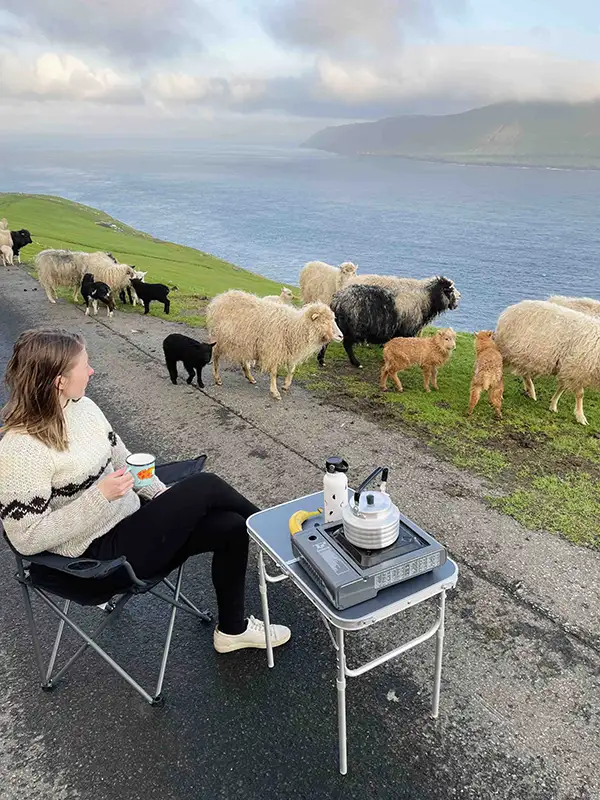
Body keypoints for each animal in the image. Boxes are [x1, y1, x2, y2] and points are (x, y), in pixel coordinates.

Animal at [206, 289, 343, 400]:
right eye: (324, 321)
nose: (341, 336)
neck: (294, 326)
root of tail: (221, 297)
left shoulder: (288, 351)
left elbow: (292, 369)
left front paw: (286, 386)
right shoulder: (273, 350)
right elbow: (274, 373)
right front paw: (275, 392)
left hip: (242, 341)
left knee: (242, 359)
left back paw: (250, 377)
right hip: (221, 338)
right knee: (215, 356)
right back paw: (217, 379)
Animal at [318, 277, 460, 368]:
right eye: (451, 291)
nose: (456, 305)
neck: (426, 299)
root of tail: (337, 299)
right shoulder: (407, 330)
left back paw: (322, 360)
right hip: (354, 327)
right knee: (346, 345)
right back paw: (356, 363)